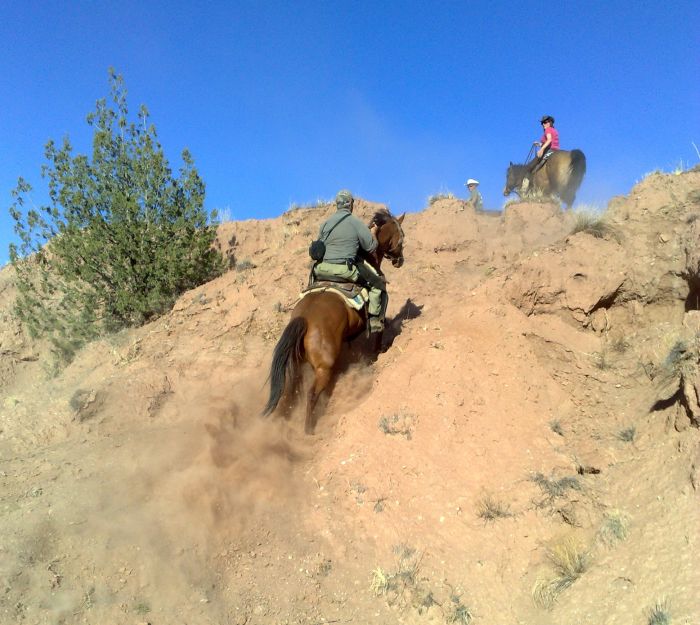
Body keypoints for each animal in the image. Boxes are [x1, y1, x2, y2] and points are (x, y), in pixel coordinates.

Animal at [262, 210, 404, 434]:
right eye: (401, 235)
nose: (400, 260)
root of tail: (304, 318)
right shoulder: (380, 303)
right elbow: (378, 330)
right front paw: (379, 352)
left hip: (297, 367)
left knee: (289, 395)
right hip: (323, 368)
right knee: (311, 395)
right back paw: (308, 431)